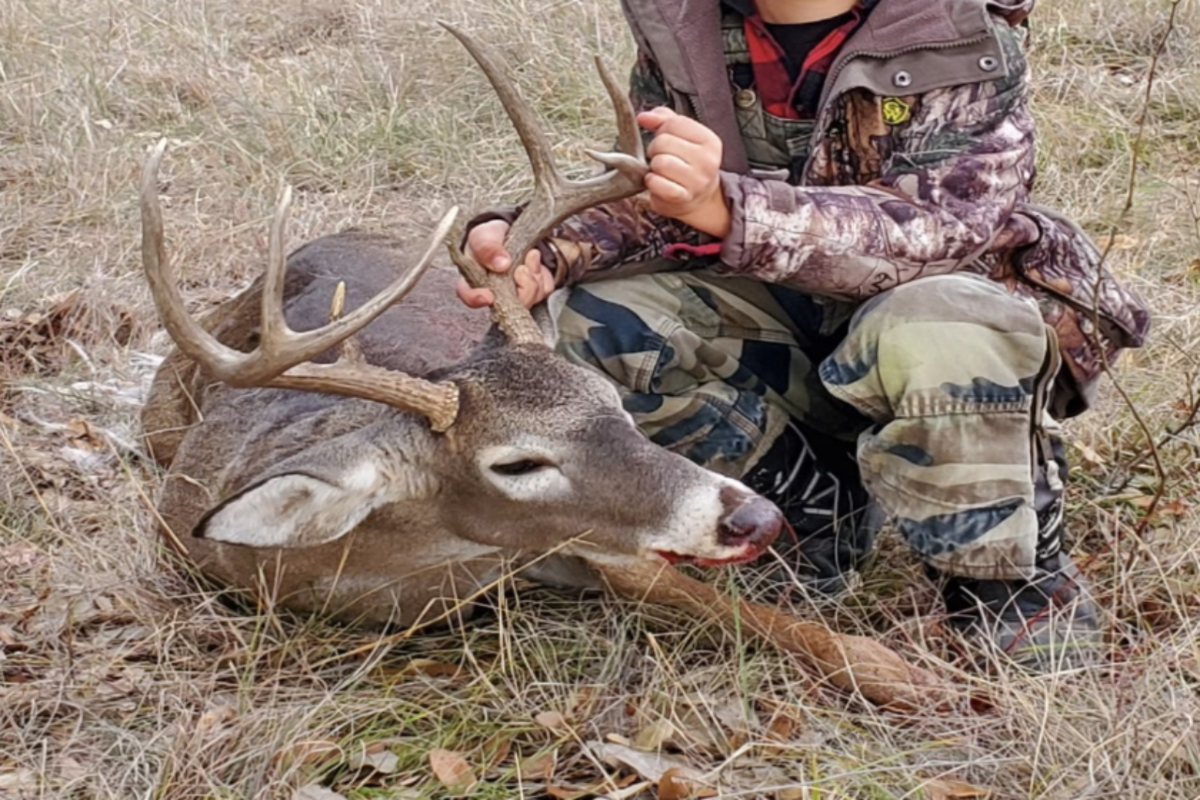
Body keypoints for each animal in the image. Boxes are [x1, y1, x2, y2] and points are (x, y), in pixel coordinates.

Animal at [140, 25, 947, 710]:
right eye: (518, 464)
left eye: (613, 406)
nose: (753, 517)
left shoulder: (599, 549)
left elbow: (726, 606)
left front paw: (902, 672)